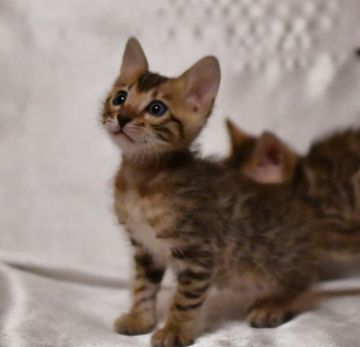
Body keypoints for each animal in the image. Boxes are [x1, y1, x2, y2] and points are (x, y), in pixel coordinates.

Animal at [100, 38, 346, 347]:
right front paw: (140, 318)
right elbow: (143, 286)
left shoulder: (199, 253)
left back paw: (271, 305)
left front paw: (175, 330)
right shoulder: (146, 249)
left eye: (156, 109)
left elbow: (184, 300)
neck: (141, 180)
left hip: (277, 263)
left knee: (301, 284)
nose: (121, 117)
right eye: (120, 98)